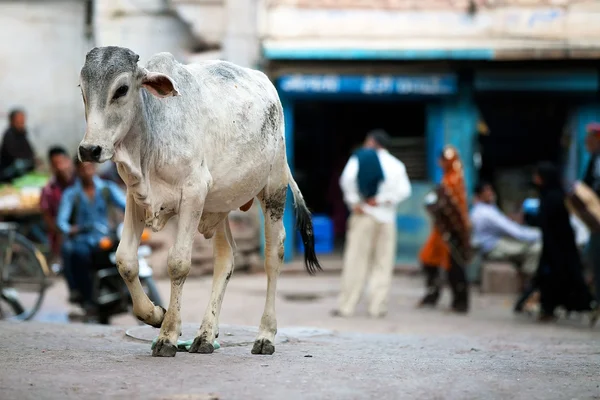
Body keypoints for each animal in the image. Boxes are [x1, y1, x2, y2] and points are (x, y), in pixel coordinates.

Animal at [79, 46, 324, 356]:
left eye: (121, 89)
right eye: (83, 89)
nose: (89, 149)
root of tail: (268, 85)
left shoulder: (193, 193)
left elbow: (178, 263)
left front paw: (168, 334)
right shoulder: (135, 197)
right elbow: (125, 260)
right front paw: (155, 315)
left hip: (273, 188)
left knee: (273, 255)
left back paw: (265, 335)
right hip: (218, 206)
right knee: (226, 257)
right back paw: (206, 335)